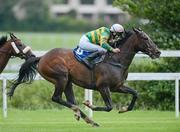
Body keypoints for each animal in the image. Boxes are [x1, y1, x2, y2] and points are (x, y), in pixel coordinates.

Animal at [8, 28, 160, 127]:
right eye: (145, 38)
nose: (158, 52)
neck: (116, 60)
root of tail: (42, 57)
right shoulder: (103, 87)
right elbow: (109, 106)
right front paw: (89, 104)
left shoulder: (118, 86)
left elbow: (135, 93)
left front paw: (123, 109)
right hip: (61, 78)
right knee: (56, 98)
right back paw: (81, 114)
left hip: (68, 82)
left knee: (70, 100)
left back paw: (88, 119)